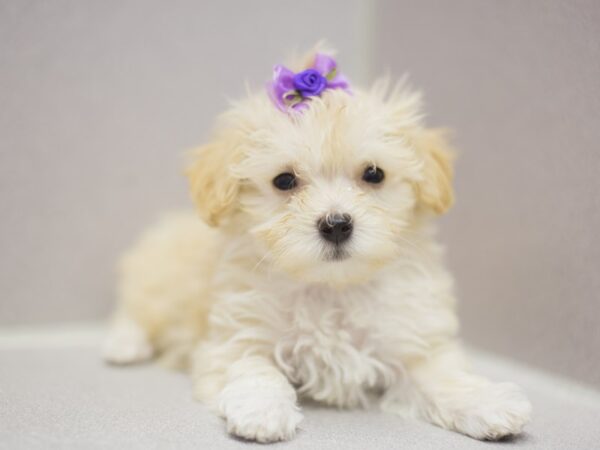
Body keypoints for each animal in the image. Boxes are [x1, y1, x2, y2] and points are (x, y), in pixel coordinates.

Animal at [103, 47, 528, 442]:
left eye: (374, 174)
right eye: (284, 181)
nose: (336, 225)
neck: (331, 287)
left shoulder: (411, 340)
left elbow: (440, 375)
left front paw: (485, 403)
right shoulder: (236, 335)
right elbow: (255, 368)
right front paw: (263, 411)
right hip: (156, 279)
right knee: (136, 309)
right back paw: (123, 343)